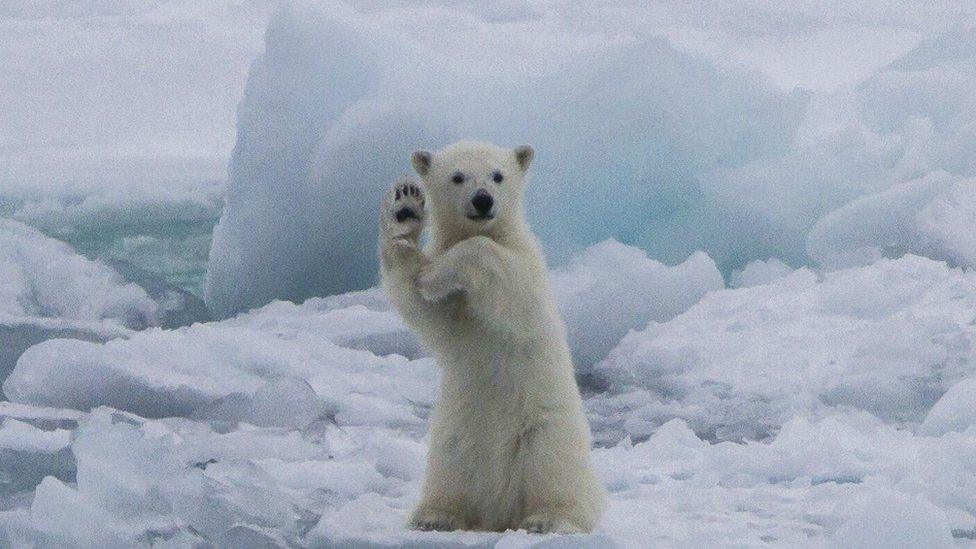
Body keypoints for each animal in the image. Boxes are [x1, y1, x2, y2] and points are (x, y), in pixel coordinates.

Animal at [380, 140, 604, 532]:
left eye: (498, 175)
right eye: (457, 176)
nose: (483, 200)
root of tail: (499, 510)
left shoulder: (528, 266)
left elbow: (503, 277)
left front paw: (434, 274)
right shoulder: (456, 309)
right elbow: (425, 309)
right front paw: (405, 208)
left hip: (543, 428)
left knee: (553, 468)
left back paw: (549, 517)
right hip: (453, 434)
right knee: (449, 470)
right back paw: (435, 515)